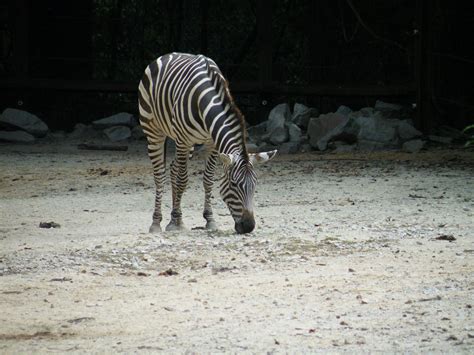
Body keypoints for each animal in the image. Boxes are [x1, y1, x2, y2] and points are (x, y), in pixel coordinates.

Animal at [137, 52, 278, 235]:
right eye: (233, 184)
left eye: (255, 185)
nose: (248, 227)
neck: (205, 101)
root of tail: (166, 56)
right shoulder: (183, 140)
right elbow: (183, 180)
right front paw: (177, 223)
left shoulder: (212, 143)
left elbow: (208, 179)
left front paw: (209, 219)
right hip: (154, 131)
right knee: (159, 174)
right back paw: (157, 222)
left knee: (174, 168)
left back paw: (174, 215)